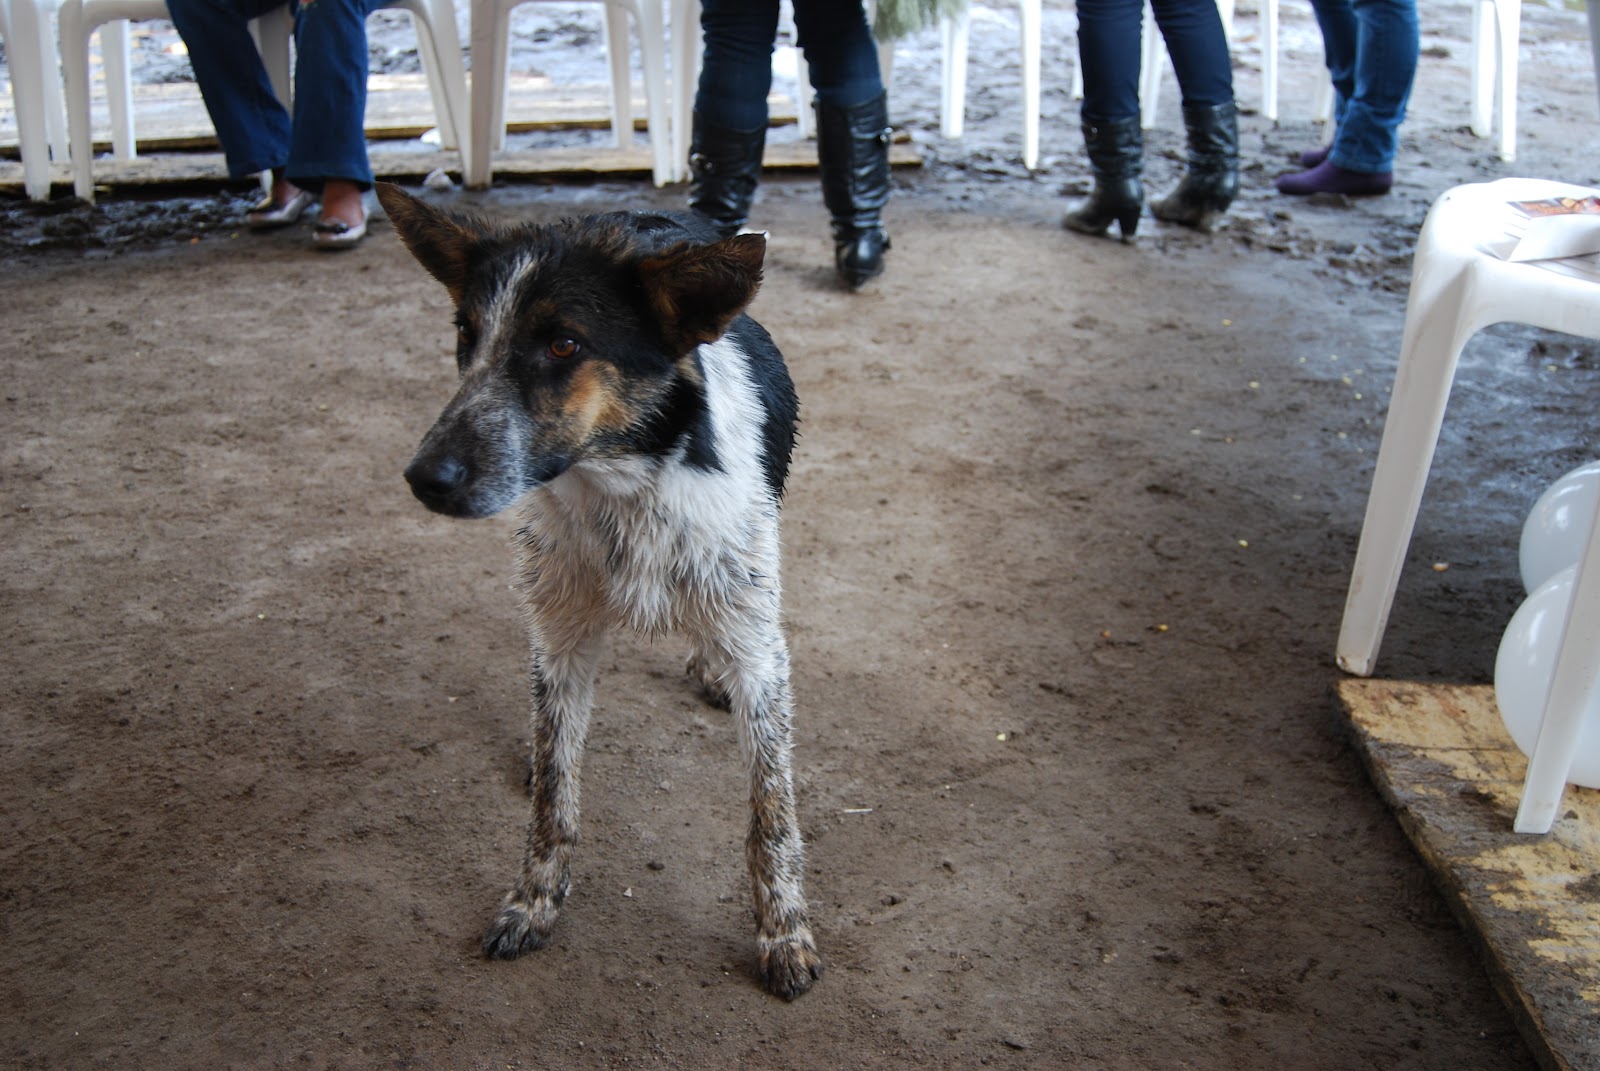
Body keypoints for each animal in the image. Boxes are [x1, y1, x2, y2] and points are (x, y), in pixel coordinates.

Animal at [374, 182, 820, 1000]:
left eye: (563, 345)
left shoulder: (760, 648)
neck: (624, 485)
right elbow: (556, 789)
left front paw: (785, 933)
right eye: (466, 333)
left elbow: (769, 812)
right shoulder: (560, 639)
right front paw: (534, 900)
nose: (424, 478)